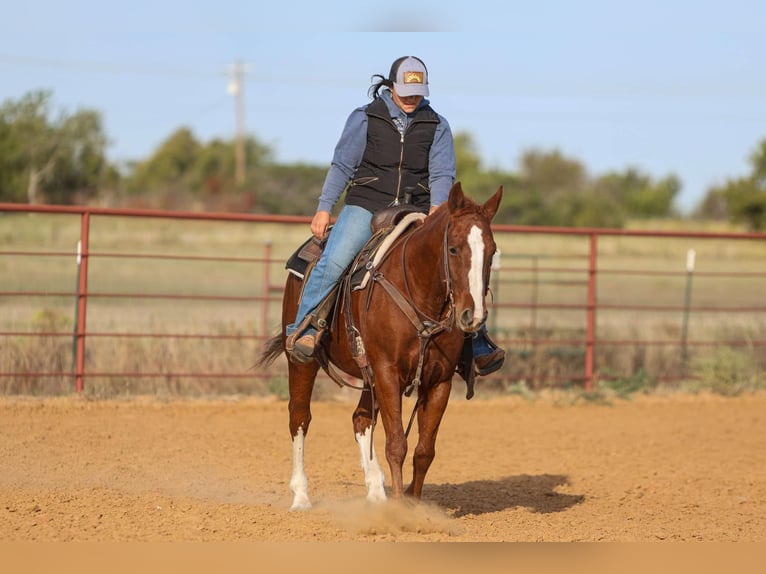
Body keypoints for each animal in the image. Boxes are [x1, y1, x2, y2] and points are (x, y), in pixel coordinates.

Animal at [258, 182, 503, 510]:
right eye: (453, 248)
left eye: (492, 250)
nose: (472, 315)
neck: (417, 291)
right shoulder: (388, 373)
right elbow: (397, 443)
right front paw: (399, 510)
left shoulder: (439, 381)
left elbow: (425, 450)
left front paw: (414, 506)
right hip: (302, 361)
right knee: (299, 417)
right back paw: (301, 496)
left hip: (368, 373)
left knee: (360, 420)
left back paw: (375, 491)